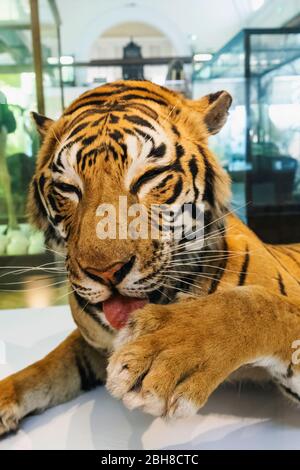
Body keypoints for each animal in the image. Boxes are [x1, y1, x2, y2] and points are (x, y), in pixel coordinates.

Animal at [0, 79, 300, 436]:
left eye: (148, 177)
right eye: (67, 188)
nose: (106, 272)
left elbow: (257, 305)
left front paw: (166, 353)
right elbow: (46, 366)